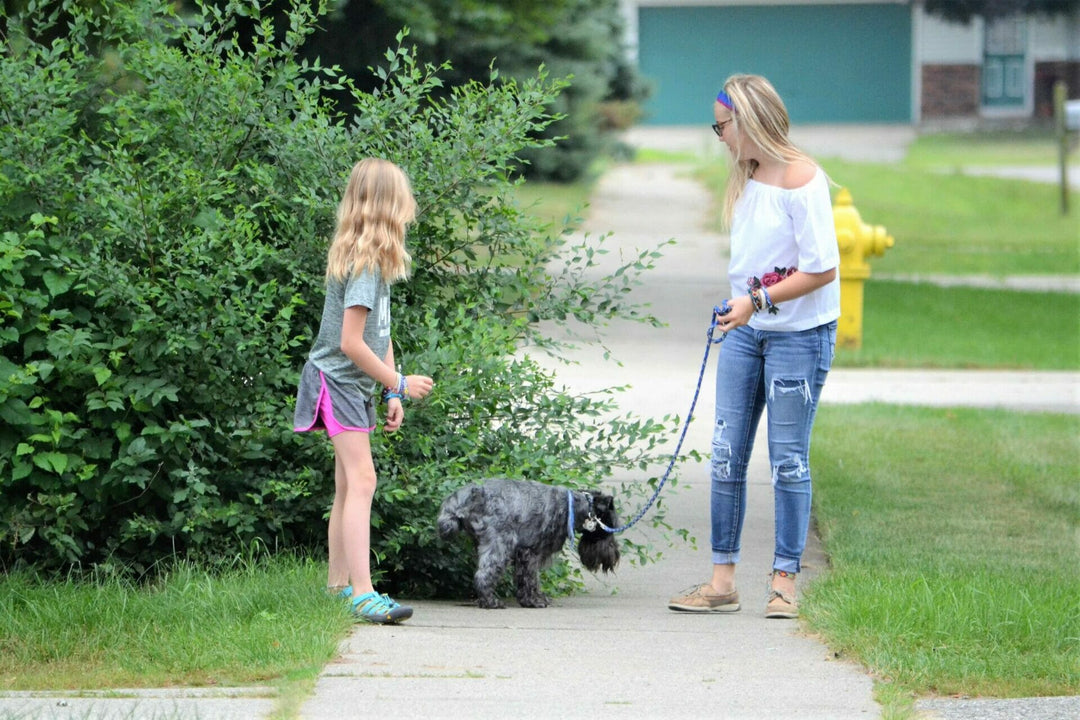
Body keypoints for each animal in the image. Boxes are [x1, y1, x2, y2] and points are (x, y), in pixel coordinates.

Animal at [436, 479, 622, 608]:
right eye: (609, 528)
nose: (615, 556)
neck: (572, 507)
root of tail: (470, 495)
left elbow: (526, 580)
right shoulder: (531, 552)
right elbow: (531, 579)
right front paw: (534, 601)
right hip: (500, 546)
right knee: (484, 574)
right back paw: (491, 602)